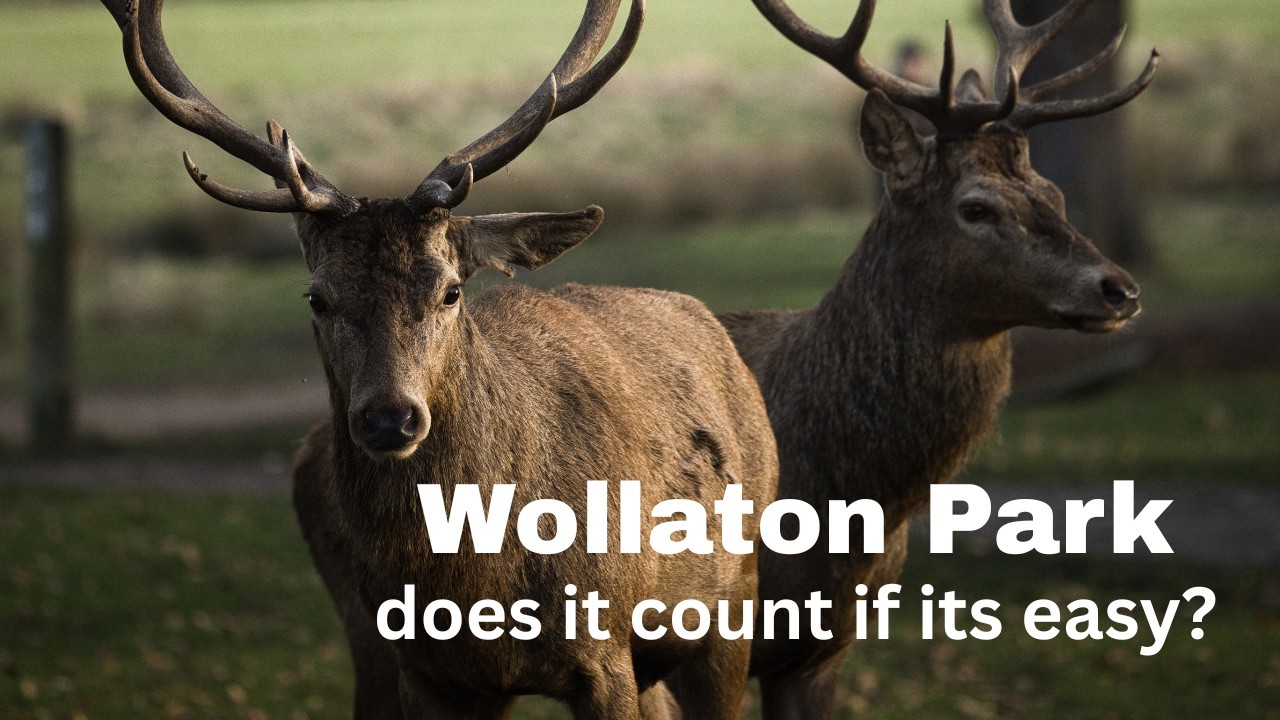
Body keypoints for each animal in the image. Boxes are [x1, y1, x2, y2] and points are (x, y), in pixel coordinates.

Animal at [100, 1, 779, 718]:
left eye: (451, 289)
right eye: (317, 296)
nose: (389, 418)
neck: (478, 583)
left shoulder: (605, 653)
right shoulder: (429, 675)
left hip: (732, 599)